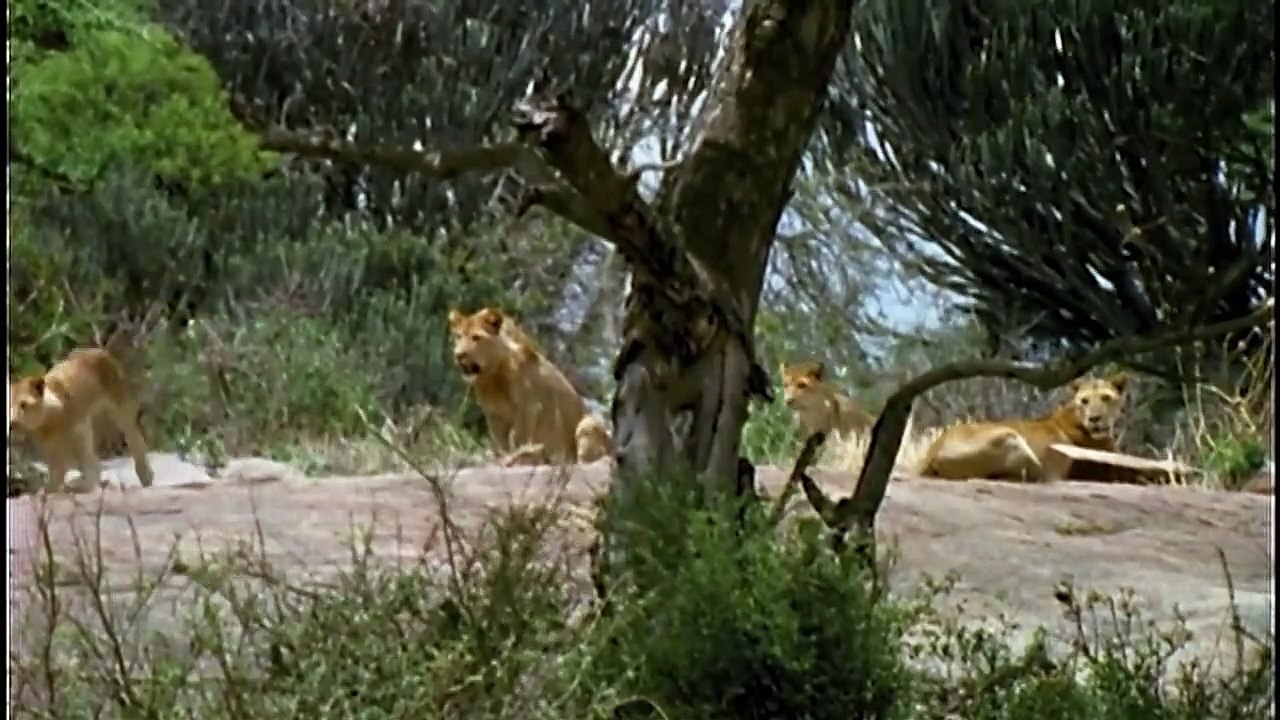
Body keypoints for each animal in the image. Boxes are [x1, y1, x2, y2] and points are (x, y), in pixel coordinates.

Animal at [9, 345, 155, 492]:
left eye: (23, 404)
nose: (12, 423)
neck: (49, 422)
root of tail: (97, 350)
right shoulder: (53, 448)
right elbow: (57, 471)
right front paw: (52, 490)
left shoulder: (80, 431)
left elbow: (85, 463)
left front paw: (85, 486)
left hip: (121, 413)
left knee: (135, 440)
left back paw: (145, 477)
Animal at [448, 307, 614, 466]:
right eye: (458, 336)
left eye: (476, 337)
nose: (458, 355)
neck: (490, 376)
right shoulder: (493, 414)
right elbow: (501, 442)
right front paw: (504, 458)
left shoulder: (529, 407)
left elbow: (518, 437)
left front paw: (518, 457)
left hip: (587, 424)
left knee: (584, 461)